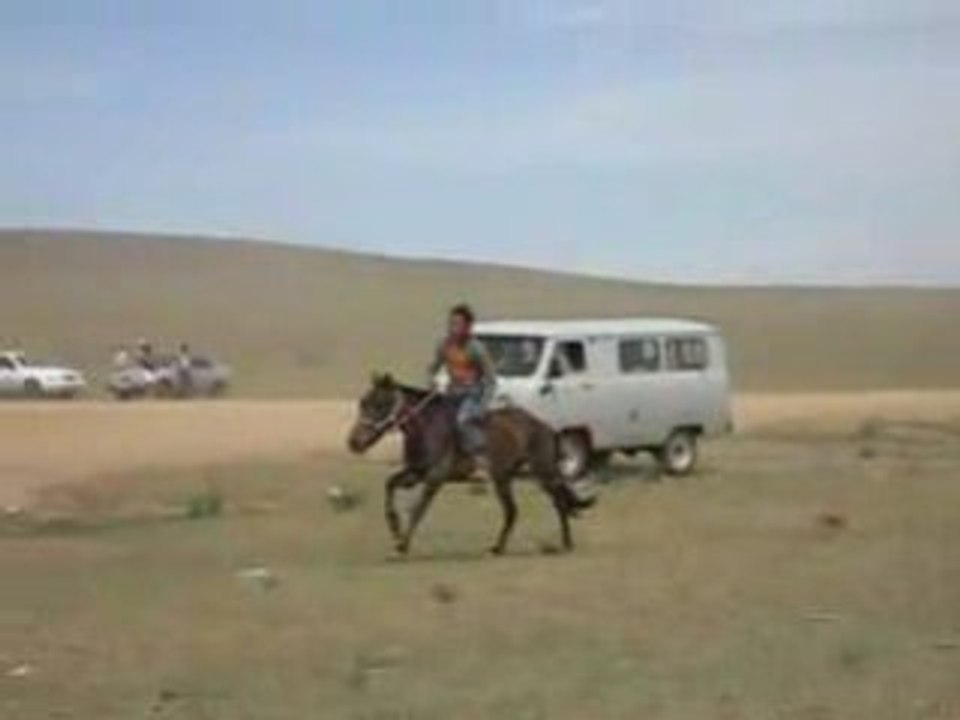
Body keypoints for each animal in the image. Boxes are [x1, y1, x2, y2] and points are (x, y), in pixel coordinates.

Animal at [346, 373, 595, 556]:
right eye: (363, 403)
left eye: (379, 404)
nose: (353, 442)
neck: (426, 427)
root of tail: (545, 426)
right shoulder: (415, 473)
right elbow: (390, 485)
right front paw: (395, 529)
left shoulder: (434, 477)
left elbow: (418, 509)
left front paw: (402, 545)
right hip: (504, 477)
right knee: (513, 510)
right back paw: (498, 547)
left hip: (541, 472)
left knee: (558, 502)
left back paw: (566, 544)